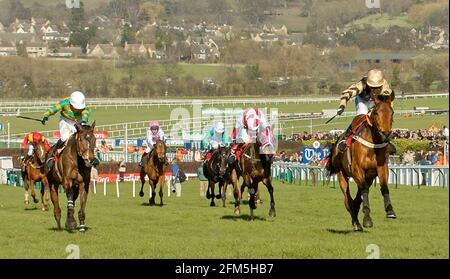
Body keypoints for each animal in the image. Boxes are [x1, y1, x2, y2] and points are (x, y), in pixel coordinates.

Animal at [326, 92, 396, 232]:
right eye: (376, 113)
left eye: (392, 112)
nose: (386, 134)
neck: (372, 145)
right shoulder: (356, 169)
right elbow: (363, 192)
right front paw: (367, 220)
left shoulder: (381, 168)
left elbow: (384, 188)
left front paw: (390, 211)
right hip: (342, 174)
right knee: (348, 200)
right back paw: (356, 222)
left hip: (368, 177)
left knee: (356, 199)